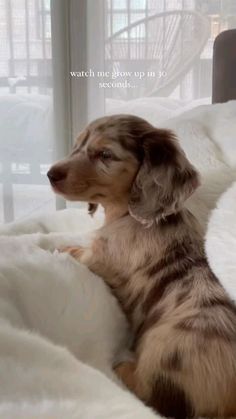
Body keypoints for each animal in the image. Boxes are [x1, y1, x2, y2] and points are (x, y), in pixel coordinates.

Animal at [47, 115, 236, 419]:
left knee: (149, 392)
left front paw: (55, 248)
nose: (50, 174)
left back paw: (122, 366)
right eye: (77, 146)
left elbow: (74, 249)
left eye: (105, 155)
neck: (129, 216)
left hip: (163, 353)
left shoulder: (98, 256)